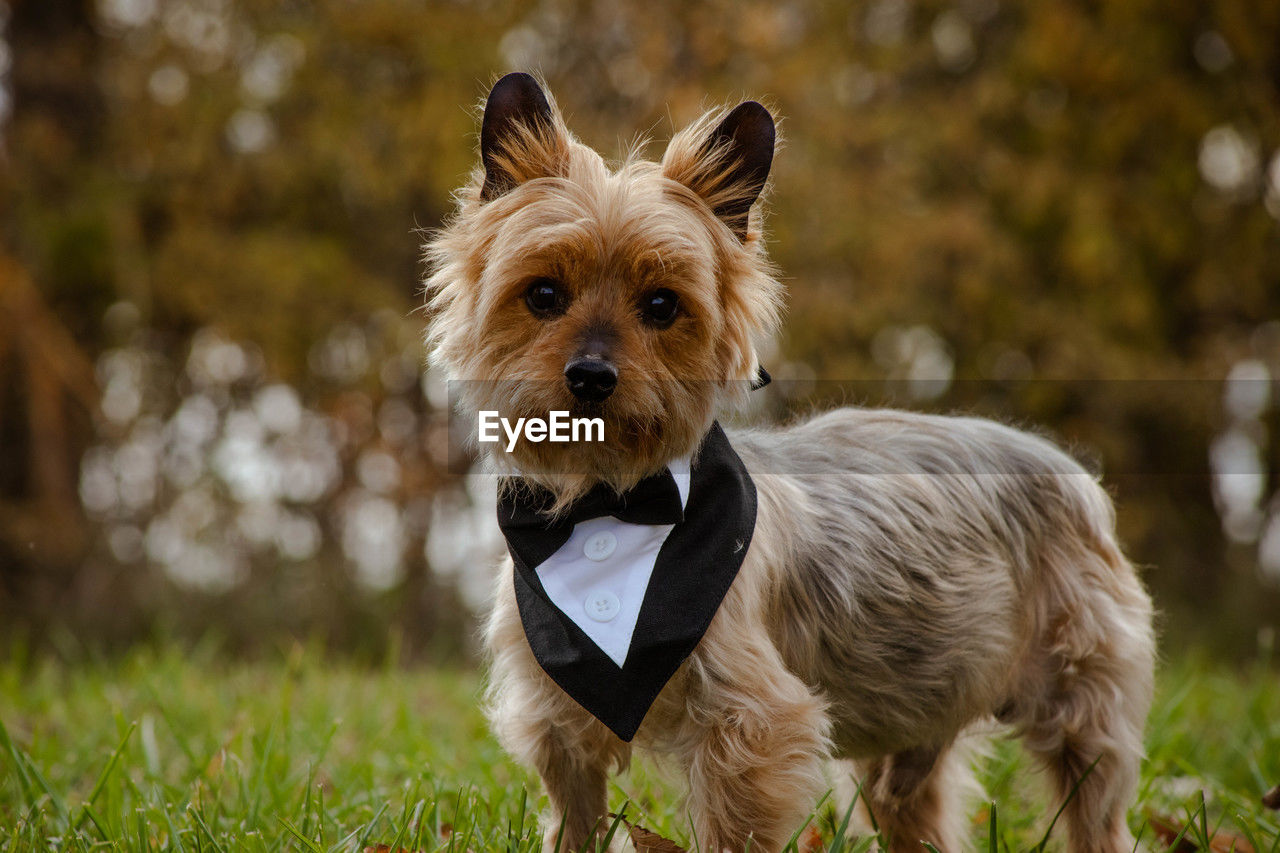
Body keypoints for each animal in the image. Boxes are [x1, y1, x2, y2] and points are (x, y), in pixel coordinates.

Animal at [424, 73, 1157, 850]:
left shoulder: (752, 722)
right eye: (541, 294)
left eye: (662, 305)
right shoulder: (559, 722)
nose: (591, 376)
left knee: (1095, 803)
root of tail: (1068, 468)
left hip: (1083, 701)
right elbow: (577, 817)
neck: (607, 502)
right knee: (911, 802)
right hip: (915, 714)